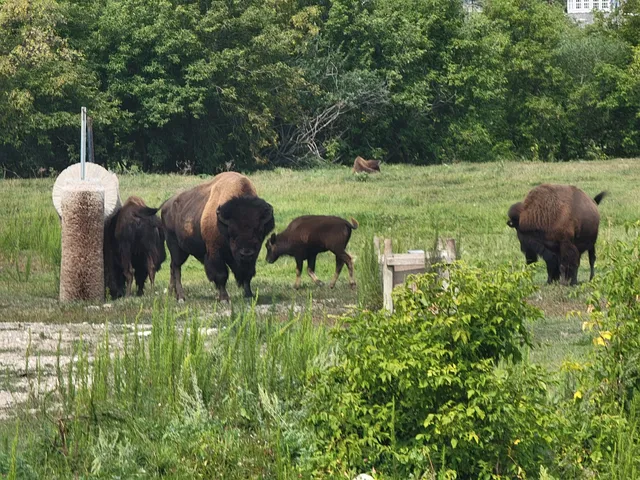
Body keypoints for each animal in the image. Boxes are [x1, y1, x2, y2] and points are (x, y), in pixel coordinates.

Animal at [161, 172, 274, 301]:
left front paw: (249, 295)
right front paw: (224, 298)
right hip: (175, 247)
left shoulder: (252, 257)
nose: (246, 253)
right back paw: (181, 297)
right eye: (232, 232)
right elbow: (221, 275)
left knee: (172, 267)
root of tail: (166, 205)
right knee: (176, 268)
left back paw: (171, 293)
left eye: (259, 231)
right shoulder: (215, 252)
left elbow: (247, 274)